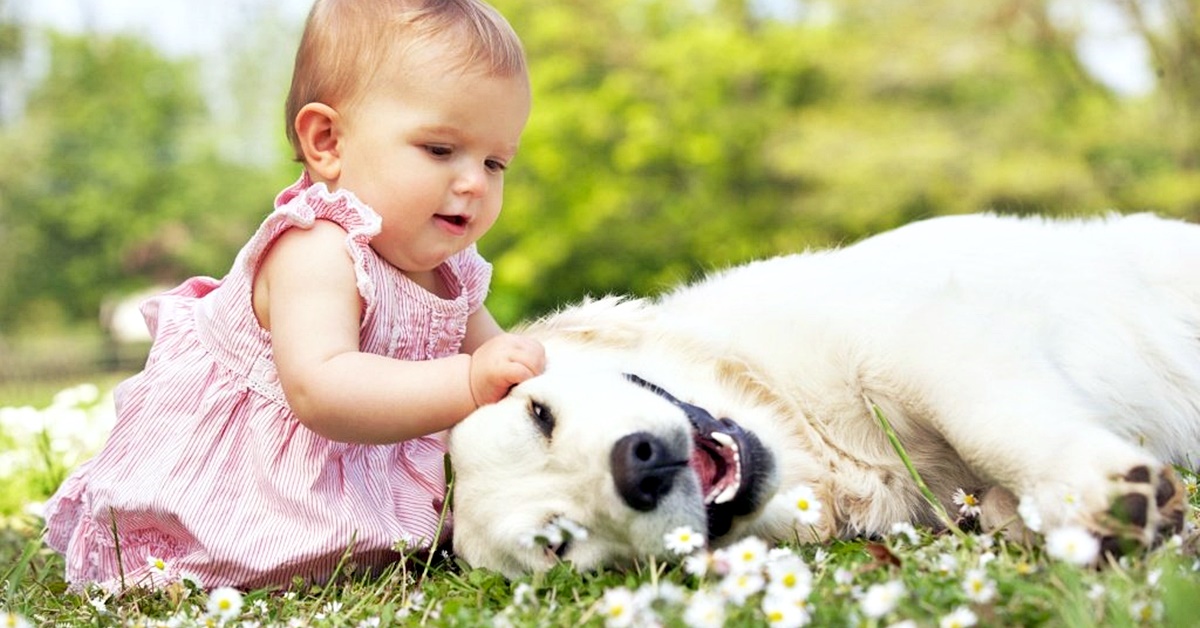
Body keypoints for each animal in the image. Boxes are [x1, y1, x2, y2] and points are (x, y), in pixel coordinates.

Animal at [446, 213, 1195, 578]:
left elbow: (990, 423)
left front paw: (1094, 491)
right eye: (557, 544)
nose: (639, 468)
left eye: (538, 414)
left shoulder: (922, 337)